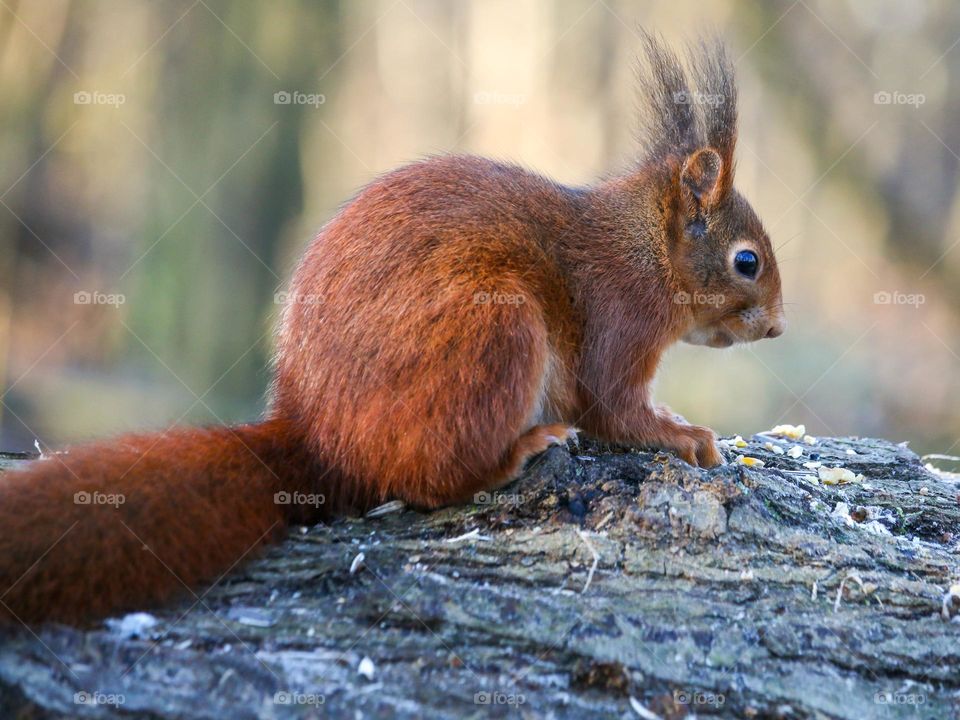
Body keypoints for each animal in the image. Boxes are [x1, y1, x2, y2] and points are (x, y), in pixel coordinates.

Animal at [0, 34, 784, 626]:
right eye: (746, 261)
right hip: (496, 333)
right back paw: (520, 449)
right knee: (431, 480)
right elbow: (615, 409)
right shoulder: (616, 319)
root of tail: (317, 435)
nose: (777, 328)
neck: (645, 248)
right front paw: (684, 435)